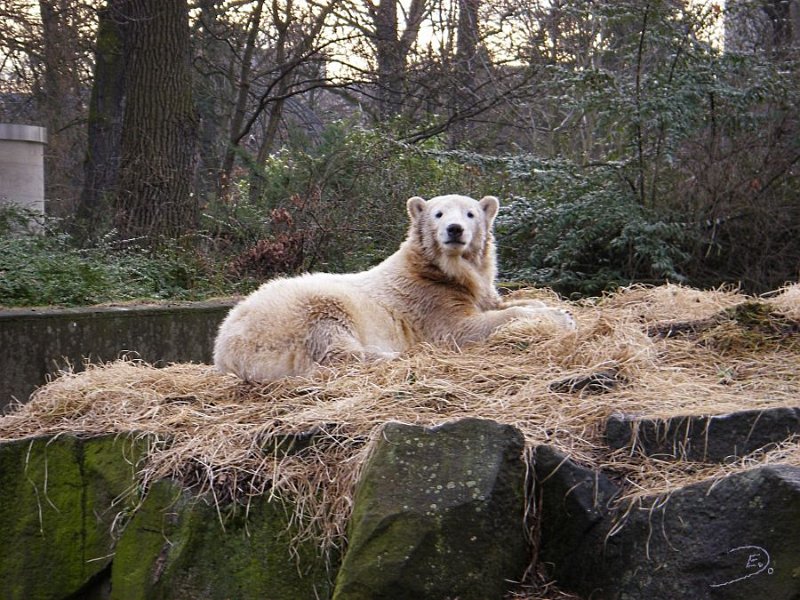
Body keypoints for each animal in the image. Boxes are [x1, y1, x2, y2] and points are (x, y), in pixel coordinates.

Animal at [212, 195, 576, 382]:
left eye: (471, 213)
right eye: (438, 213)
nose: (454, 229)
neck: (436, 269)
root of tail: (223, 345)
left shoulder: (473, 289)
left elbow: (498, 303)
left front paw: (550, 308)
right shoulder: (429, 300)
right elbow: (464, 328)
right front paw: (561, 318)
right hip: (297, 310)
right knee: (332, 342)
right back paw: (396, 354)